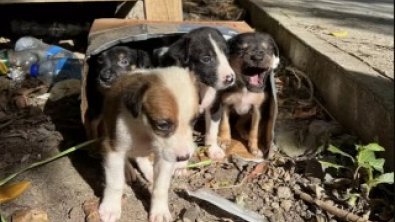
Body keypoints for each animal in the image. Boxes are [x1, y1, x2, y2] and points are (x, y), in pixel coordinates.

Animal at [98, 66, 200, 222]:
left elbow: (161, 187)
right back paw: (128, 170)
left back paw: (149, 171)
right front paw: (111, 208)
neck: (145, 130)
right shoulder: (113, 150)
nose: (184, 158)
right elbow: (115, 183)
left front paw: (160, 211)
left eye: (194, 121)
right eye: (163, 124)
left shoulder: (165, 155)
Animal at [156, 26, 237, 161]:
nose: (230, 79)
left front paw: (213, 150)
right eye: (206, 59)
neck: (200, 85)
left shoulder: (214, 106)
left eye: (226, 54)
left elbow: (212, 130)